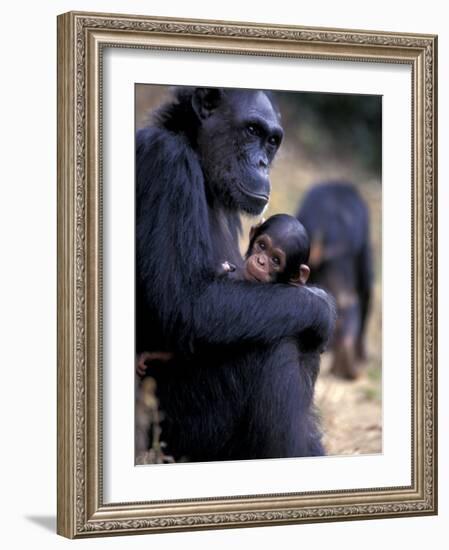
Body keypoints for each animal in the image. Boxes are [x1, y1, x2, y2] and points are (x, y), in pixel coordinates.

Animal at [136, 88, 336, 464]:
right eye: (252, 130)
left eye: (272, 141)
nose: (261, 163)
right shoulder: (166, 163)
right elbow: (188, 305)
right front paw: (323, 306)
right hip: (176, 432)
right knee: (277, 342)